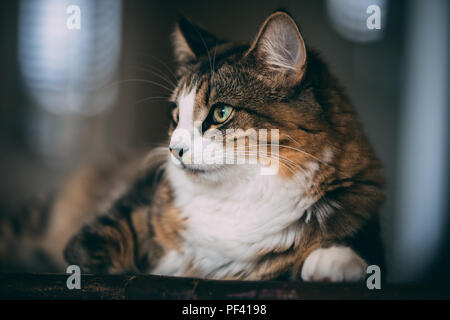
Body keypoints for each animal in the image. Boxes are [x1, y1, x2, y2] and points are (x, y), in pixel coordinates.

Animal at [0, 10, 386, 282]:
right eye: (176, 115)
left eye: (221, 112)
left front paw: (335, 261)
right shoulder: (104, 226)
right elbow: (110, 262)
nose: (174, 150)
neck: (236, 203)